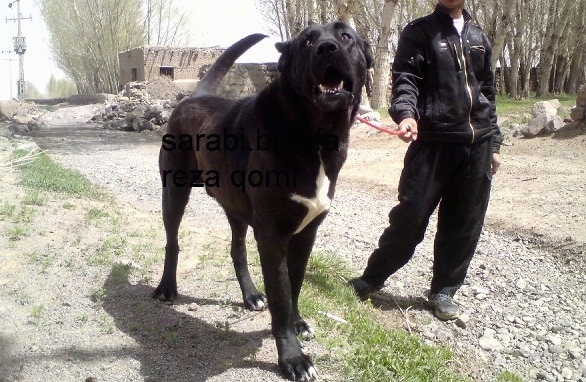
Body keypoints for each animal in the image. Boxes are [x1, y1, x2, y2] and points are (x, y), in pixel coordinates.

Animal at [153, 22, 372, 380]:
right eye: (307, 40)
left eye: (346, 37)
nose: (327, 48)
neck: (315, 137)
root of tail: (193, 97)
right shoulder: (273, 236)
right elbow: (281, 297)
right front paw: (293, 359)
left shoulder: (305, 234)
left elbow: (294, 285)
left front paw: (298, 324)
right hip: (174, 192)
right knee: (173, 241)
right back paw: (167, 287)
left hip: (235, 207)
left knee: (237, 249)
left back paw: (251, 294)